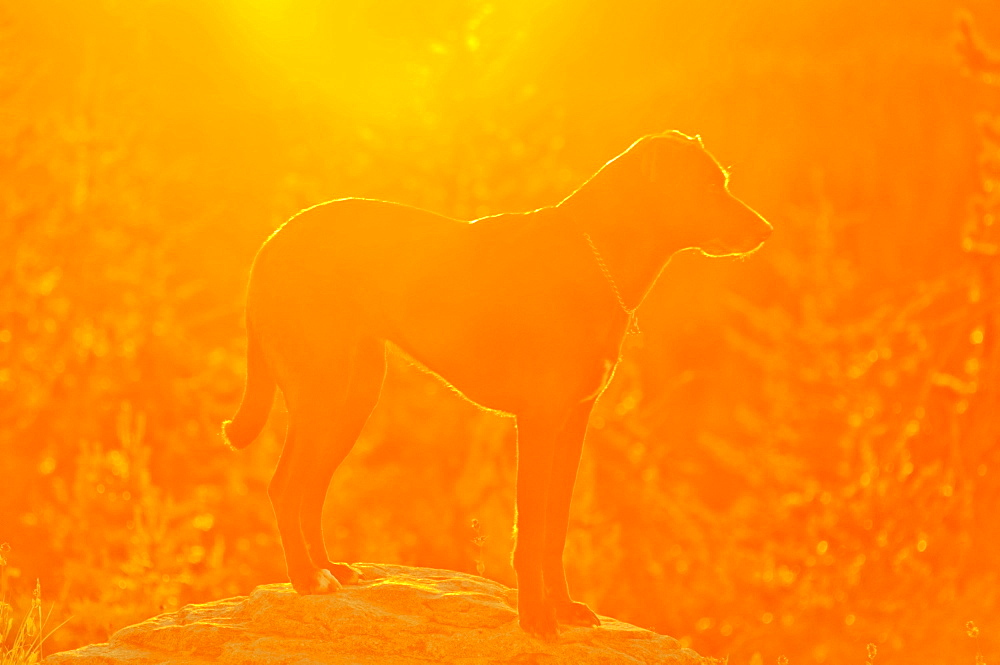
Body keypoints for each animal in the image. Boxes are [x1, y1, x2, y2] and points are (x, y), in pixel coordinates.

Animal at [225, 131, 772, 640]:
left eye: (722, 179)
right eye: (709, 186)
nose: (766, 231)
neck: (594, 257)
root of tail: (272, 241)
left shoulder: (573, 423)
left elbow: (554, 530)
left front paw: (564, 609)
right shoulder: (538, 421)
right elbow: (529, 533)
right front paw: (536, 618)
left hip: (352, 400)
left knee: (310, 489)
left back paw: (327, 569)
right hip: (322, 394)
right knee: (284, 486)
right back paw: (304, 578)